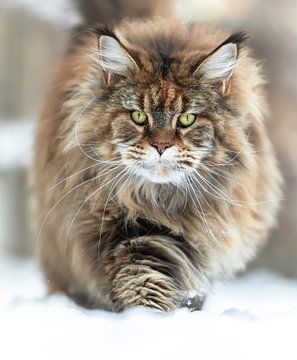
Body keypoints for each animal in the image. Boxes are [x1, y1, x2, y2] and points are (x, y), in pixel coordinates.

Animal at [33, 0, 280, 310]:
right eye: (138, 116)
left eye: (186, 119)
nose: (161, 146)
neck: (161, 203)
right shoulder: (126, 234)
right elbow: (142, 279)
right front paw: (146, 317)